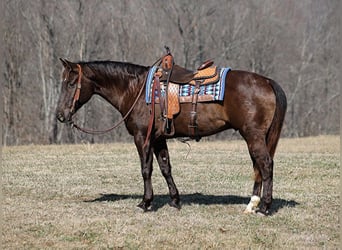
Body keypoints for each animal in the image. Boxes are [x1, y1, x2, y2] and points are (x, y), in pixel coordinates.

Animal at [55, 55, 286, 216]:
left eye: (70, 83)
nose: (60, 115)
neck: (135, 89)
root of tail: (267, 81)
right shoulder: (158, 139)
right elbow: (165, 168)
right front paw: (175, 200)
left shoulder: (142, 137)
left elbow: (146, 169)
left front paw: (145, 202)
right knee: (258, 166)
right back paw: (252, 205)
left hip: (253, 136)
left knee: (265, 165)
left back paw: (264, 207)